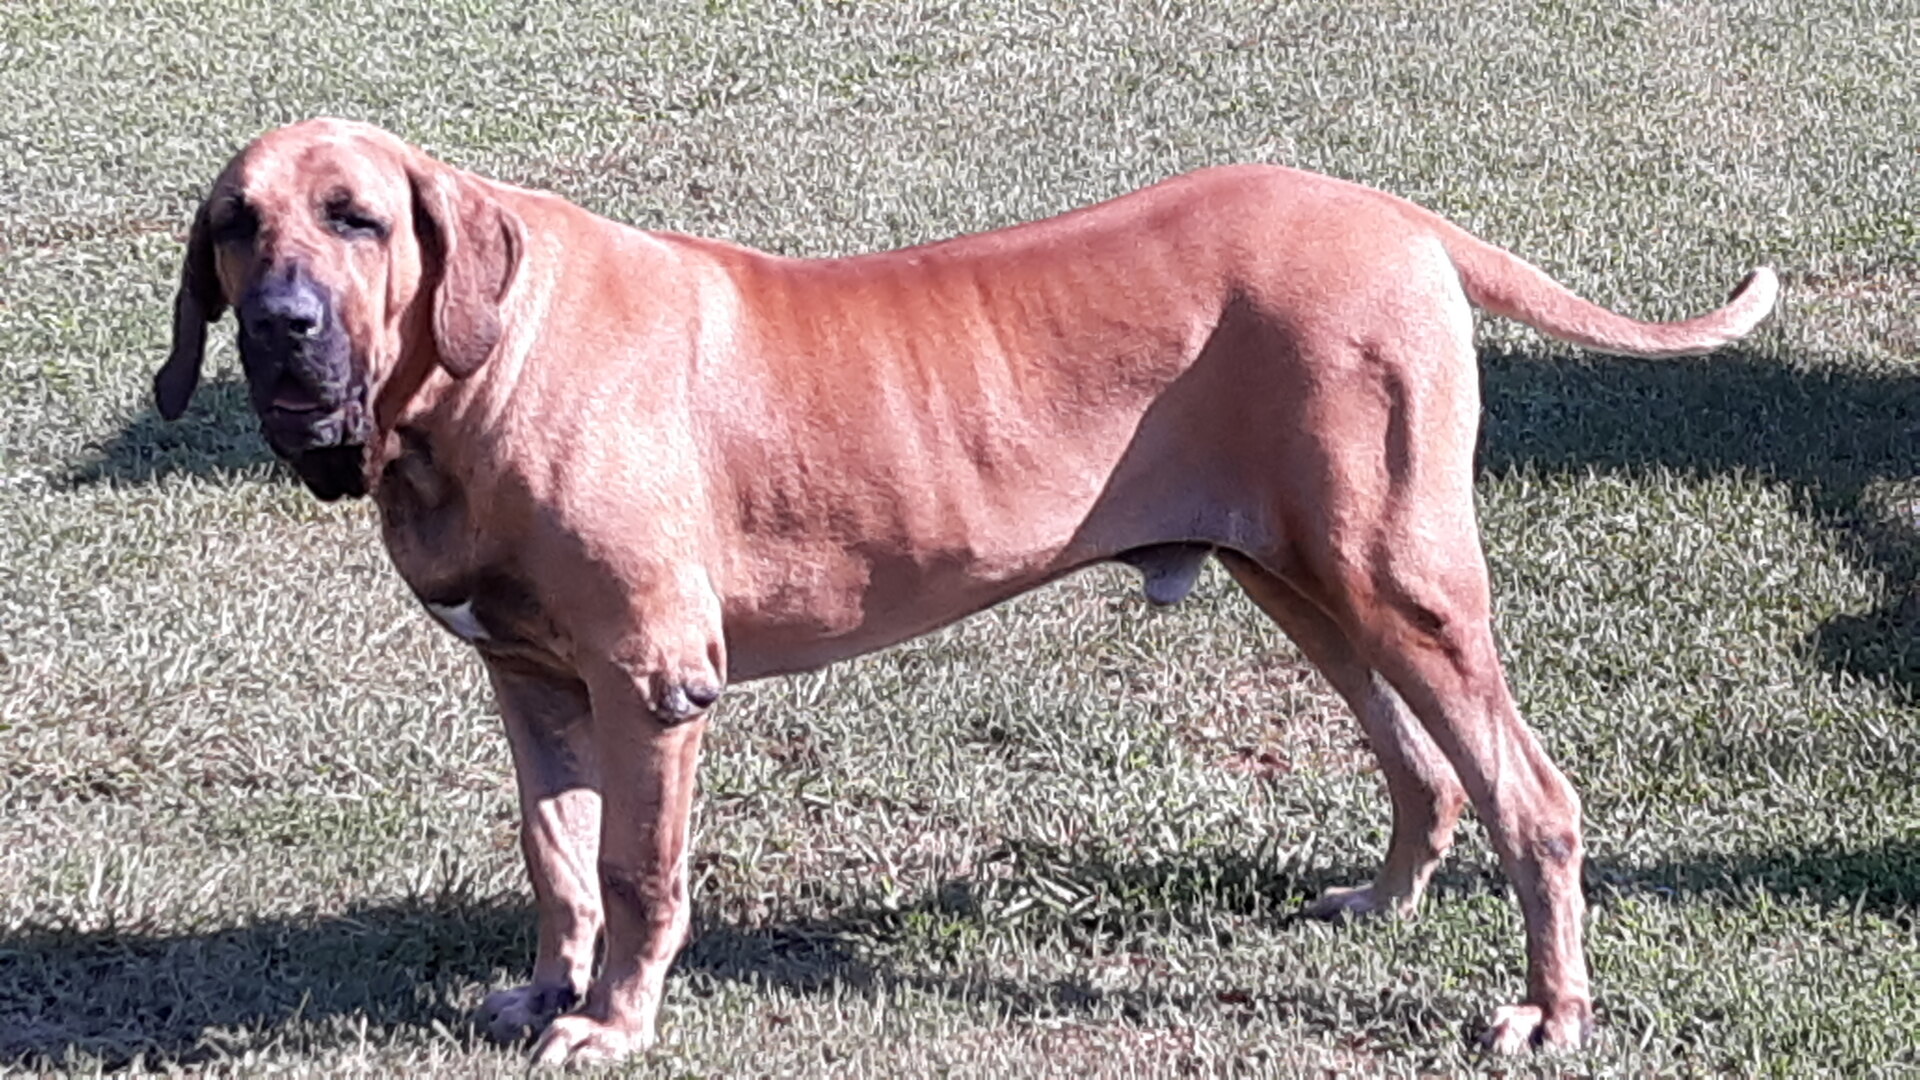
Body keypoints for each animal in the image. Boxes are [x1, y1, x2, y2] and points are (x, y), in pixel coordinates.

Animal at [157, 117, 1774, 1060]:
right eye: (236, 228)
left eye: (358, 219)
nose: (281, 328)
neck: (476, 368)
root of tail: (1405, 219)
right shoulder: (535, 682)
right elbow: (553, 854)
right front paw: (549, 989)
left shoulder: (650, 680)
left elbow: (631, 870)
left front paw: (611, 1021)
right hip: (1305, 575)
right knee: (1425, 768)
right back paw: (1382, 897)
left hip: (1399, 578)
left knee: (1532, 798)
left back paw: (1552, 1010)